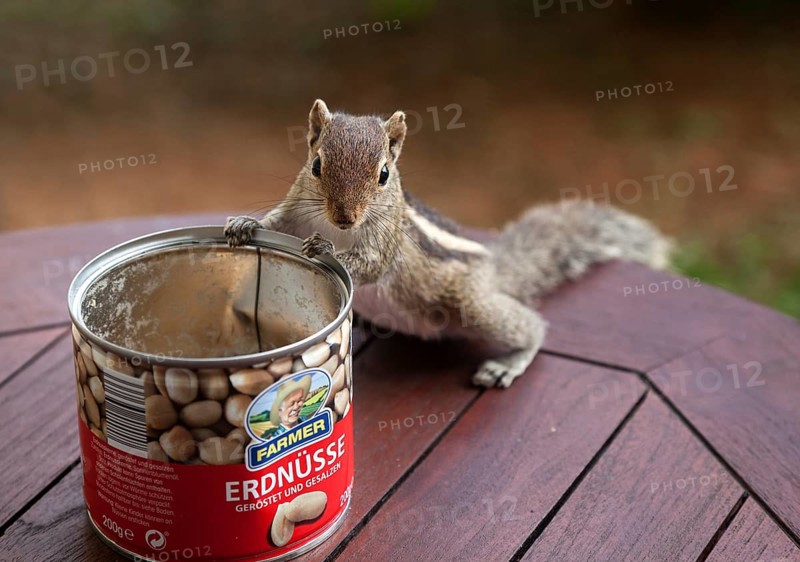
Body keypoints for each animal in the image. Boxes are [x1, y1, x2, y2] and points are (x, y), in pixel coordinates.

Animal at [225, 99, 670, 388]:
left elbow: (369, 264)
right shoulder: (295, 209)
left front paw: (325, 251)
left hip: (472, 303)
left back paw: (510, 362)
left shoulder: (386, 237)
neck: (336, 228)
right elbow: (274, 222)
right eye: (316, 165)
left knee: (532, 327)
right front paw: (242, 224)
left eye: (384, 174)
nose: (344, 218)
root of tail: (494, 270)